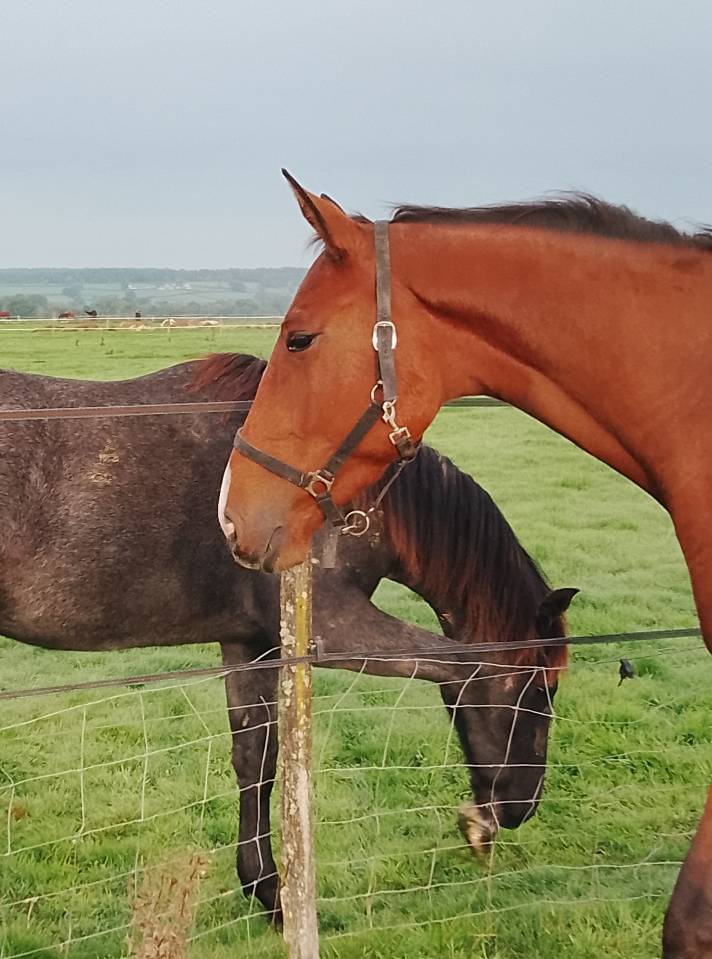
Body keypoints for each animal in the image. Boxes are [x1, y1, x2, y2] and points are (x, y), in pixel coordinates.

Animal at [0, 352, 575, 924]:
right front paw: (478, 821)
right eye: (542, 690)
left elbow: (256, 758)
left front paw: (267, 890)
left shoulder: (249, 643)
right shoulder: (333, 628)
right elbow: (458, 665)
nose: (521, 806)